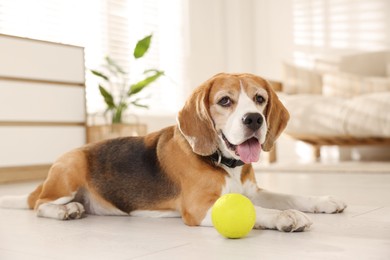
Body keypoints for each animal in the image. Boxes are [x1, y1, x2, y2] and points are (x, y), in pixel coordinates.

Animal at [0, 72, 348, 232]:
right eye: (225, 101)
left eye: (260, 99)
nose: (254, 119)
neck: (227, 163)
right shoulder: (199, 208)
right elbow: (262, 210)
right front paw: (285, 217)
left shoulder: (252, 190)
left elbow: (289, 196)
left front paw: (323, 201)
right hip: (69, 167)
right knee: (39, 205)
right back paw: (64, 210)